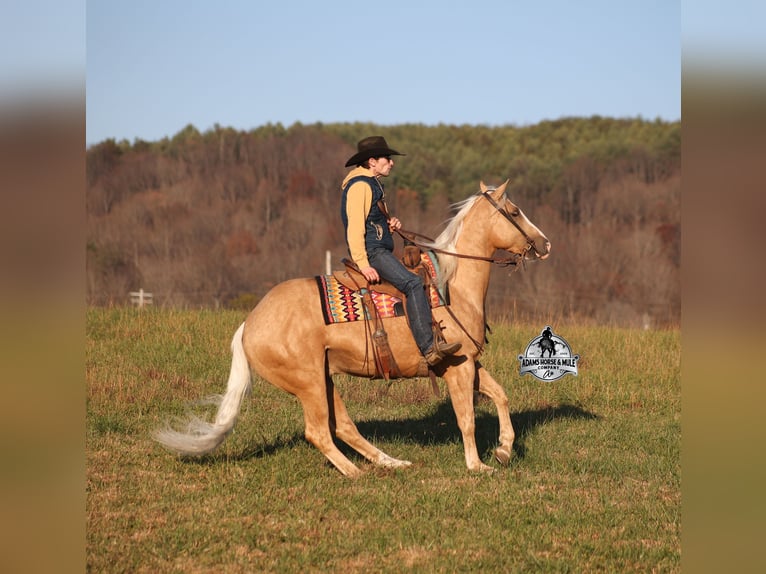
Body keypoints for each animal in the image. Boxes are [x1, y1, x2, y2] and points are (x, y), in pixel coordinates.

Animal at [154, 180, 551, 477]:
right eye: (515, 212)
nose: (545, 243)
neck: (452, 287)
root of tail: (249, 324)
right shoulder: (458, 366)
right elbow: (466, 417)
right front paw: (477, 464)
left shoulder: (468, 362)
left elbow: (500, 395)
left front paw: (503, 449)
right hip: (309, 384)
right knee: (318, 431)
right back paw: (355, 473)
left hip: (323, 378)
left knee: (343, 426)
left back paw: (391, 462)